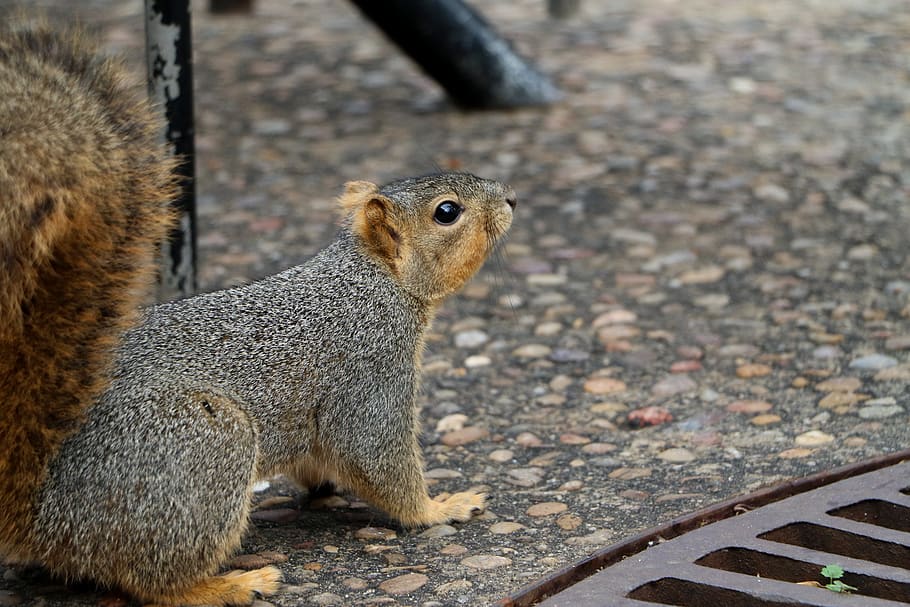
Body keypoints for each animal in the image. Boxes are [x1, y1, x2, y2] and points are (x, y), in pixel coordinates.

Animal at [1, 19, 515, 607]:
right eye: (447, 212)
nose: (510, 199)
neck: (370, 279)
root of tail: (40, 516)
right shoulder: (371, 366)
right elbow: (374, 453)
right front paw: (438, 508)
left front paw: (324, 488)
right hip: (203, 445)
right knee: (152, 581)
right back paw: (230, 583)